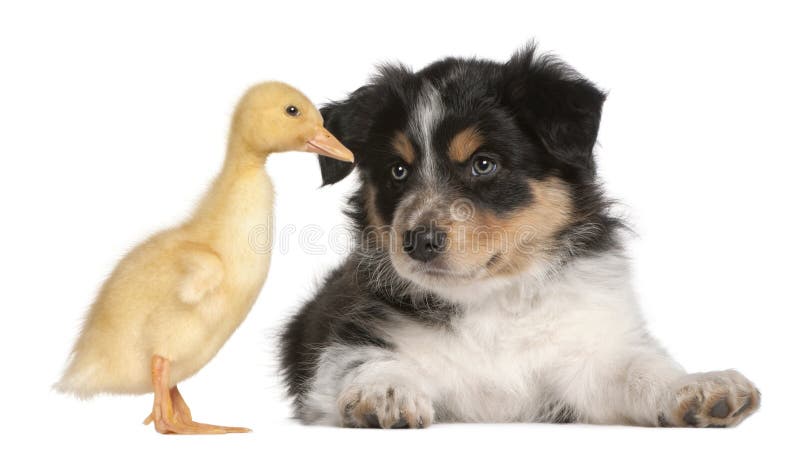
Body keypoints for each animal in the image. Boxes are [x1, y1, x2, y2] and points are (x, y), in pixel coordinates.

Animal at [278, 46, 760, 430]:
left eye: (484, 164)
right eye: (398, 171)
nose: (417, 242)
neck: (492, 301)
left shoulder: (584, 360)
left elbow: (637, 368)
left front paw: (698, 388)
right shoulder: (348, 340)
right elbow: (362, 361)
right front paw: (384, 393)